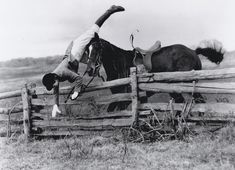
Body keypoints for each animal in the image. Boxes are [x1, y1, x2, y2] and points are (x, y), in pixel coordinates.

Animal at [85, 36, 225, 112]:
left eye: (97, 48)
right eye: (87, 49)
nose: (90, 70)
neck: (120, 64)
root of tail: (193, 51)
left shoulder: (125, 99)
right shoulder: (117, 98)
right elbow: (110, 112)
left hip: (188, 85)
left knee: (200, 101)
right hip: (175, 89)